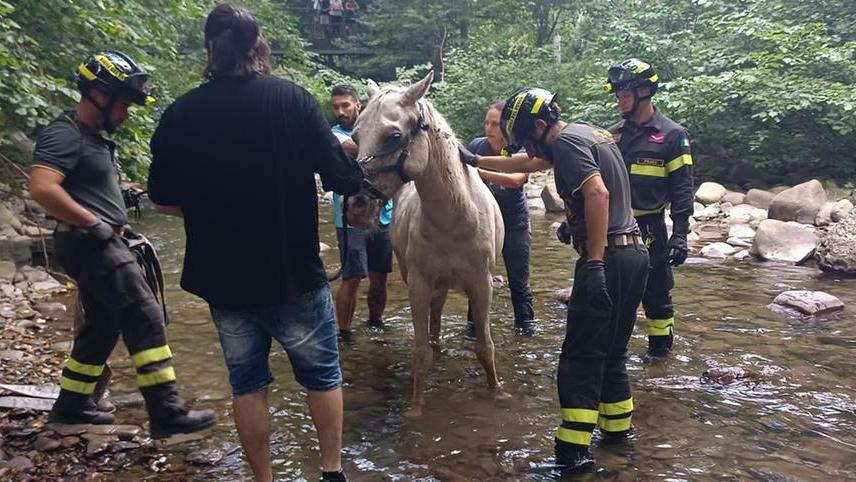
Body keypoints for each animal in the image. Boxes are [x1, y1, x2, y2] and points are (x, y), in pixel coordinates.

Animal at [353, 71, 505, 416]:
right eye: (355, 136)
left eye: (393, 136)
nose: (357, 205)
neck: (455, 219)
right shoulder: (419, 284)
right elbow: (421, 352)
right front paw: (416, 408)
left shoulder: (481, 284)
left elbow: (485, 347)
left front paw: (497, 393)